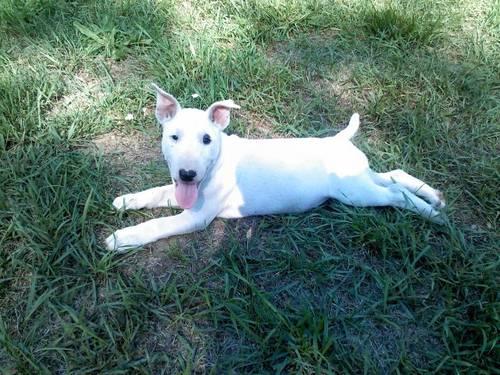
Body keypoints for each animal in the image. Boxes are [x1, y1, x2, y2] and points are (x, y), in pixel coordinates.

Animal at [106, 83, 446, 251]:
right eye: (173, 137)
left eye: (206, 139)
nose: (187, 174)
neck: (217, 162)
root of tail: (339, 140)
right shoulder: (183, 193)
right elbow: (157, 192)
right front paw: (126, 200)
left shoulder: (198, 216)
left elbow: (158, 224)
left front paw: (121, 238)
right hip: (360, 180)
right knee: (395, 177)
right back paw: (435, 197)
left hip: (356, 193)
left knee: (396, 195)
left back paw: (432, 214)